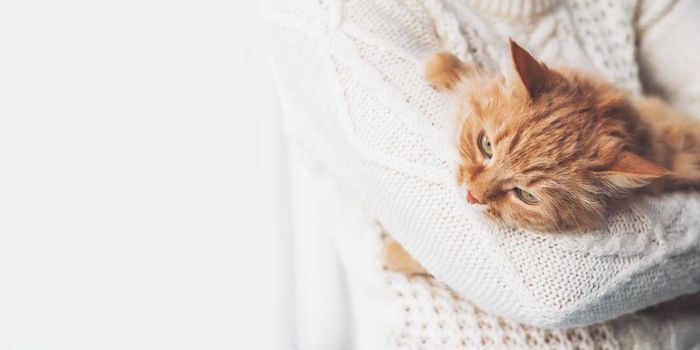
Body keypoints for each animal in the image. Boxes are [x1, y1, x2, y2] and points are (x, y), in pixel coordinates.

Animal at [386, 40, 700, 276]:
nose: (471, 196)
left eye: (525, 196)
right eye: (486, 146)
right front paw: (447, 68)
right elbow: (477, 80)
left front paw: (397, 251)